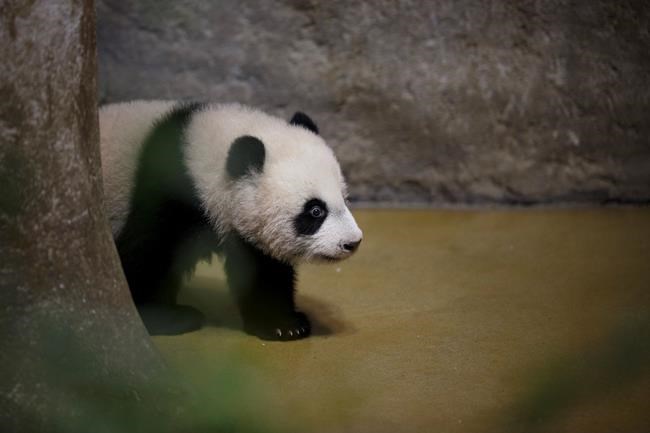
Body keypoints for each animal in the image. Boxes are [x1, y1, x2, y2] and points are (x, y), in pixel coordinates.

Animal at [99, 101, 363, 340]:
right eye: (315, 211)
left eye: (344, 199)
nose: (352, 243)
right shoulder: (167, 191)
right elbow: (148, 254)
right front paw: (165, 317)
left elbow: (263, 268)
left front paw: (283, 324)